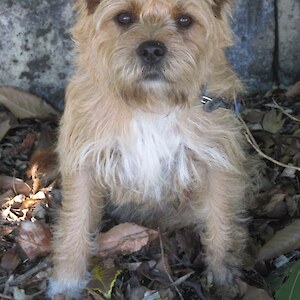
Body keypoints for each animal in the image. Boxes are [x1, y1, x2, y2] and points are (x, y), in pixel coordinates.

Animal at [48, 1, 256, 298]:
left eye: (184, 20)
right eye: (124, 17)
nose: (151, 50)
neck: (151, 103)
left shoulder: (218, 163)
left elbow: (222, 223)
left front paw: (223, 279)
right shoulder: (84, 162)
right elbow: (76, 223)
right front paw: (67, 280)